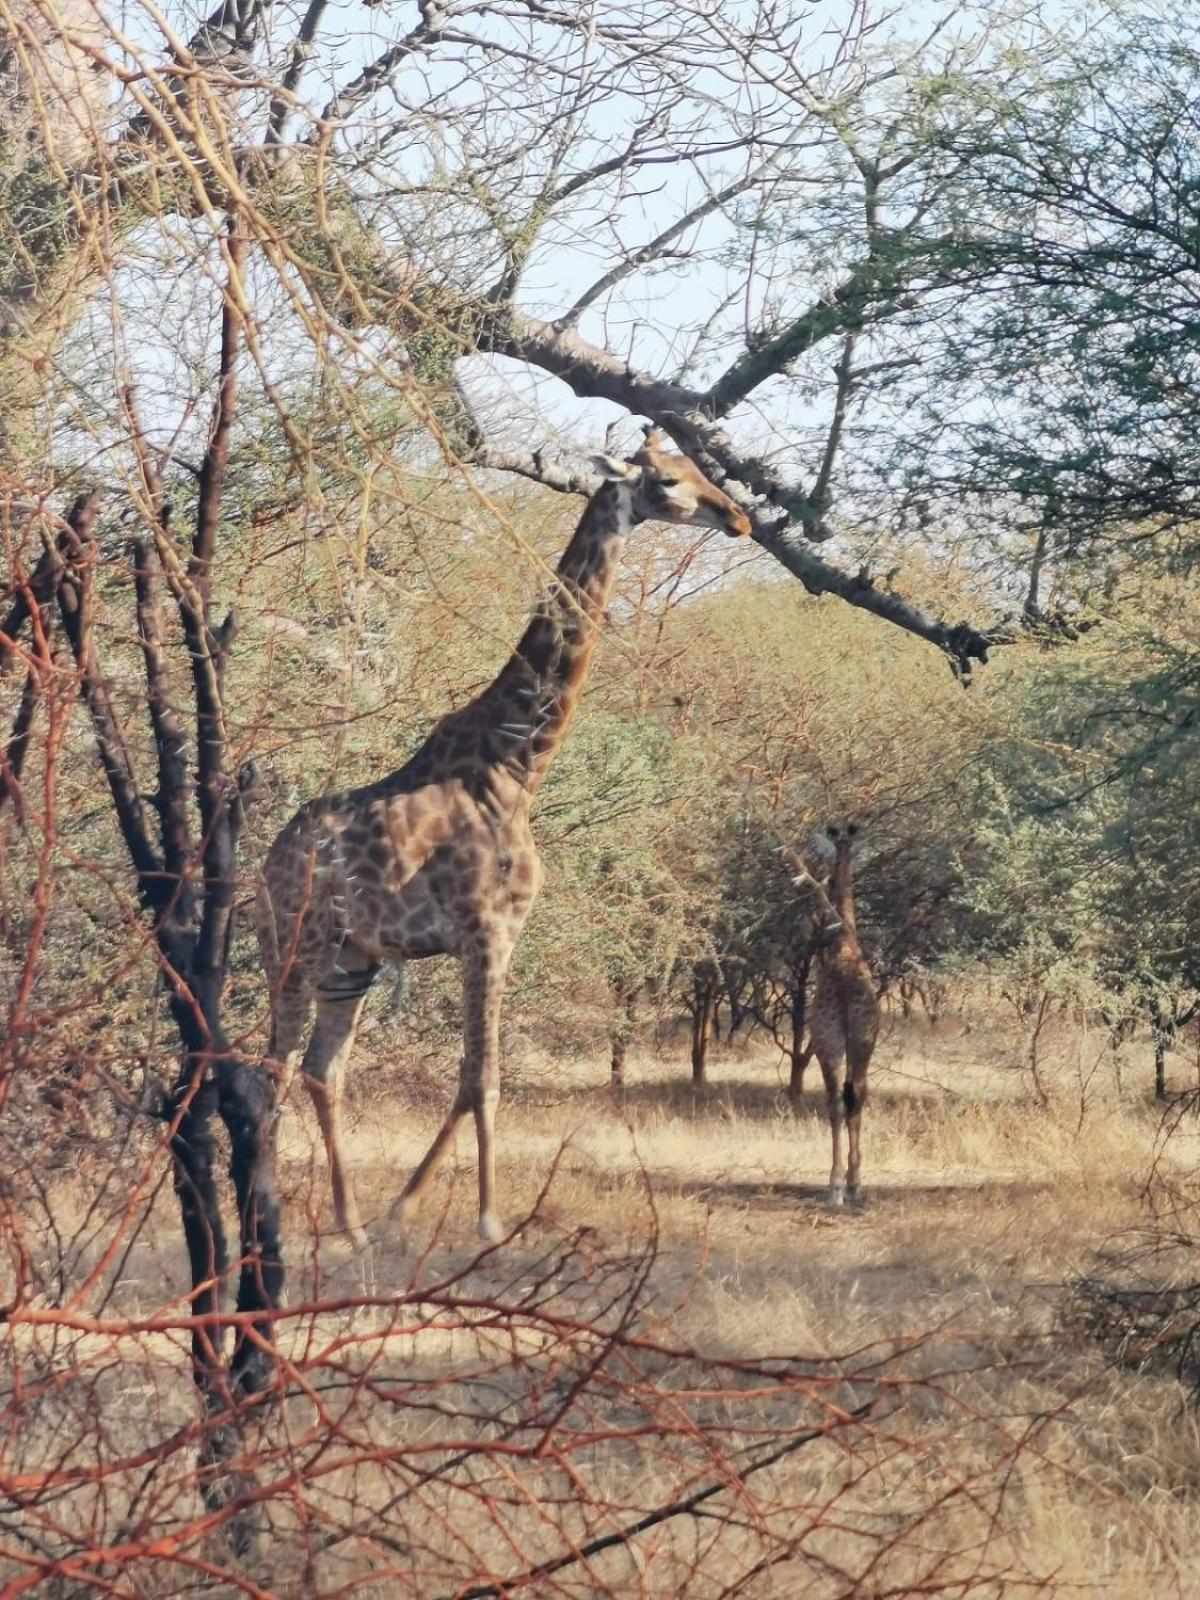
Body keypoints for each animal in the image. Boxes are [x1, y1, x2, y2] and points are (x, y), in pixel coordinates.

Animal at [256, 432, 752, 1241]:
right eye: (670, 482)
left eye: (702, 469)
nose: (737, 518)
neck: (517, 762)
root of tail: (266, 862)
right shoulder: (484, 928)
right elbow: (481, 1079)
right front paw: (488, 1220)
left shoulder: (503, 933)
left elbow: (473, 1081)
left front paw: (400, 1211)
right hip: (298, 946)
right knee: (272, 1063)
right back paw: (264, 1211)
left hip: (352, 960)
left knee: (321, 1070)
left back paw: (351, 1224)